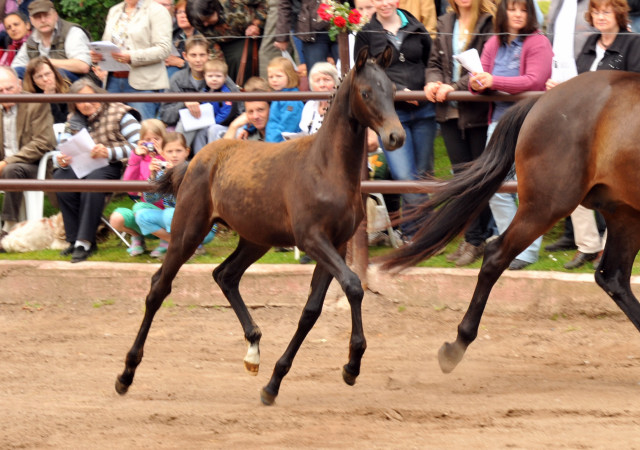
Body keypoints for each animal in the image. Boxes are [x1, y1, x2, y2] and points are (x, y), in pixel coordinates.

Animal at [115, 47, 404, 406]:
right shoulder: (313, 240)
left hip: (255, 239)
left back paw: (253, 349)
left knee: (225, 275)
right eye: (366, 93)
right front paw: (352, 365)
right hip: (188, 230)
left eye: (392, 91)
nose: (396, 136)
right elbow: (352, 285)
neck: (326, 168)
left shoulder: (335, 244)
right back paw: (126, 374)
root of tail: (195, 159)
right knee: (159, 288)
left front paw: (274, 382)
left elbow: (311, 309)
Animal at [382, 70, 640, 376]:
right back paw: (455, 347)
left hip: (624, 212)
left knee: (613, 277)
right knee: (496, 256)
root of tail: (544, 99)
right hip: (546, 204)